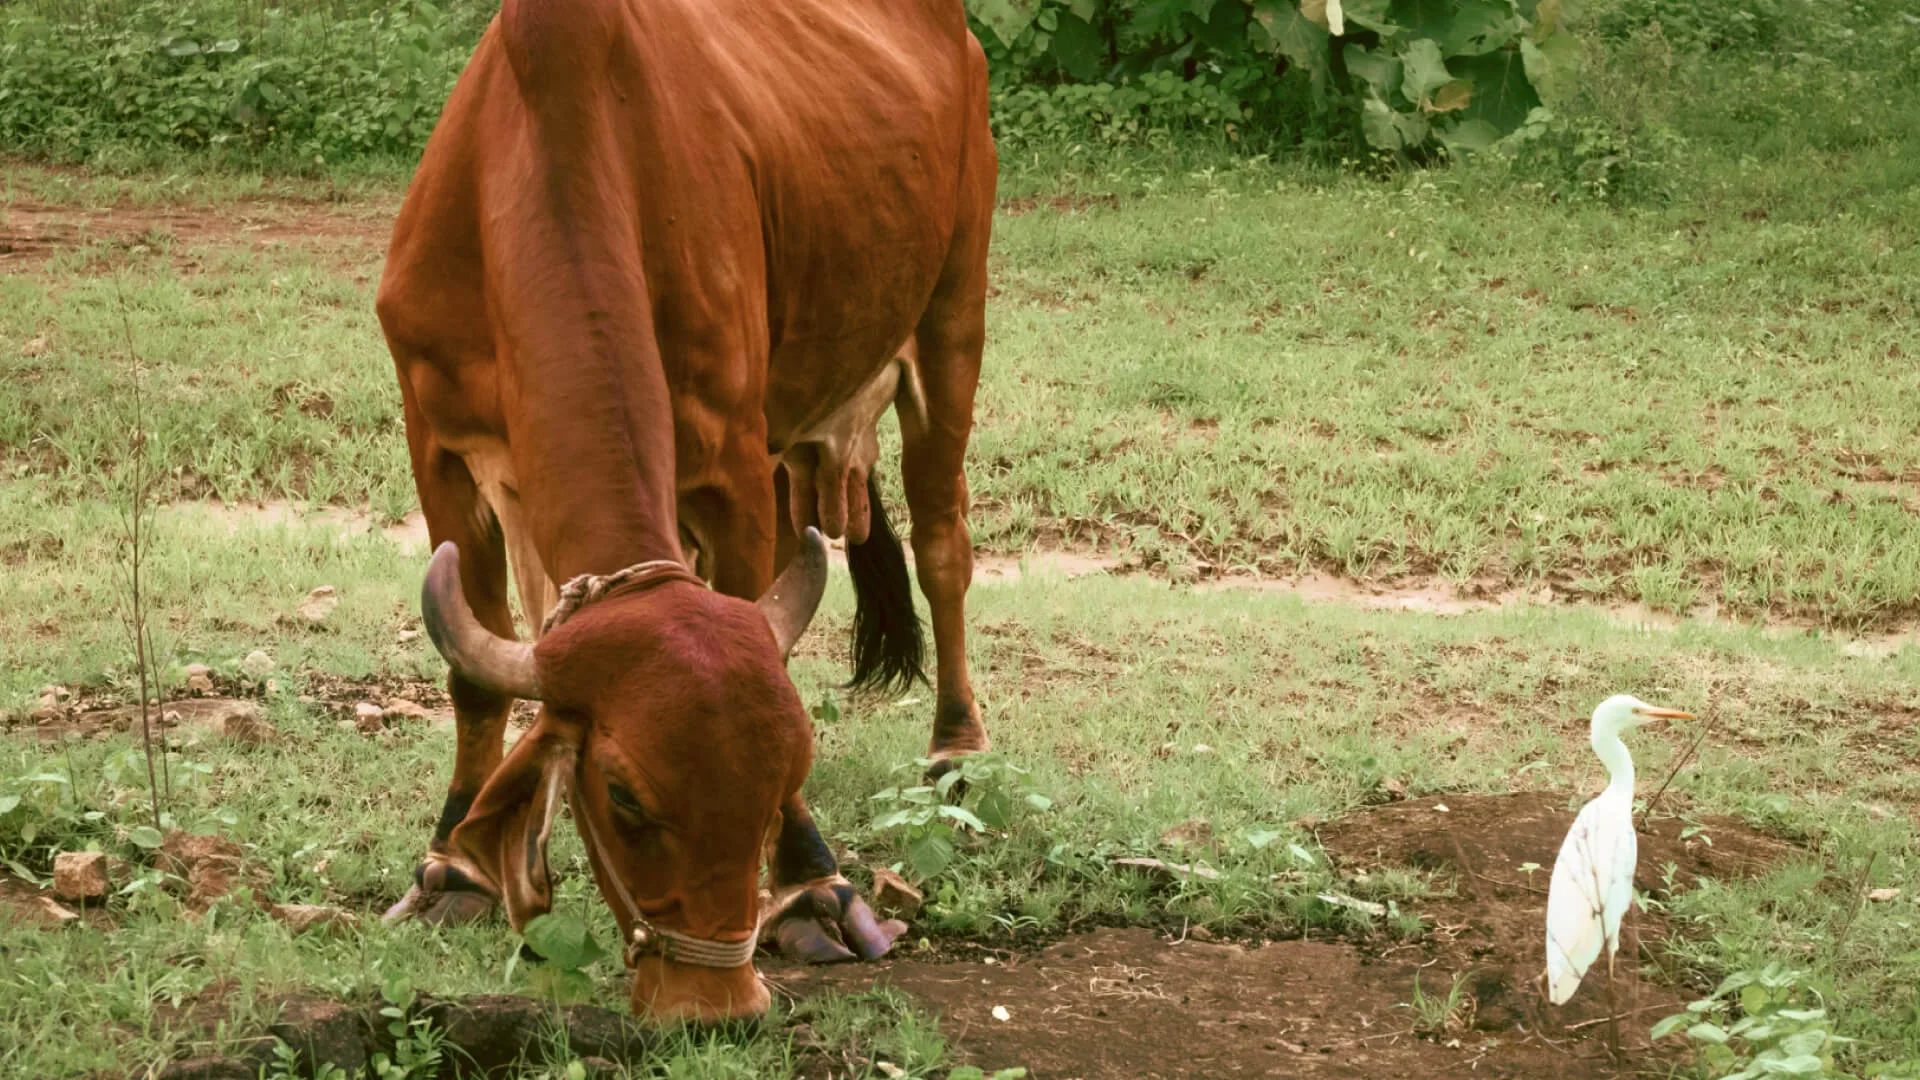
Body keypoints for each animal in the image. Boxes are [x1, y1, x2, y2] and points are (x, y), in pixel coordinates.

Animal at [371, 0, 996, 1023]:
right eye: (623, 797)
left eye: (788, 771)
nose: (715, 1002)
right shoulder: (436, 440)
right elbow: (476, 676)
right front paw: (454, 863)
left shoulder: (730, 460)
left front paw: (810, 885)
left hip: (952, 312)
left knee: (945, 541)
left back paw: (955, 746)